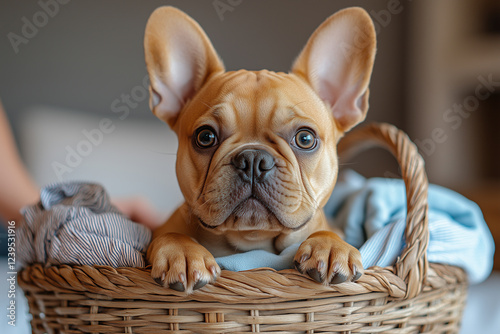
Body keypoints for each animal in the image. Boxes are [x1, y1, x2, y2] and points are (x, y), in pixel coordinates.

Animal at [145, 5, 376, 292]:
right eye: (206, 137)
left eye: (305, 139)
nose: (253, 159)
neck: (253, 241)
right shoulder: (159, 229)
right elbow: (171, 233)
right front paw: (183, 254)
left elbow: (327, 231)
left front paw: (331, 247)